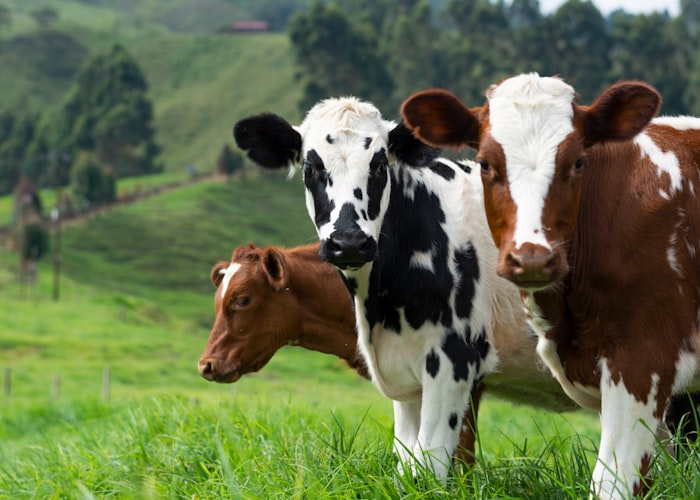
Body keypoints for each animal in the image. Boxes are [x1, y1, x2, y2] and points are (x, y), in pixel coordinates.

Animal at [230, 97, 566, 478]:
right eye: (310, 168)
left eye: (379, 165)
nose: (348, 243)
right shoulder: (406, 379)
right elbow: (406, 463)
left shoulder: (456, 359)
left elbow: (430, 463)